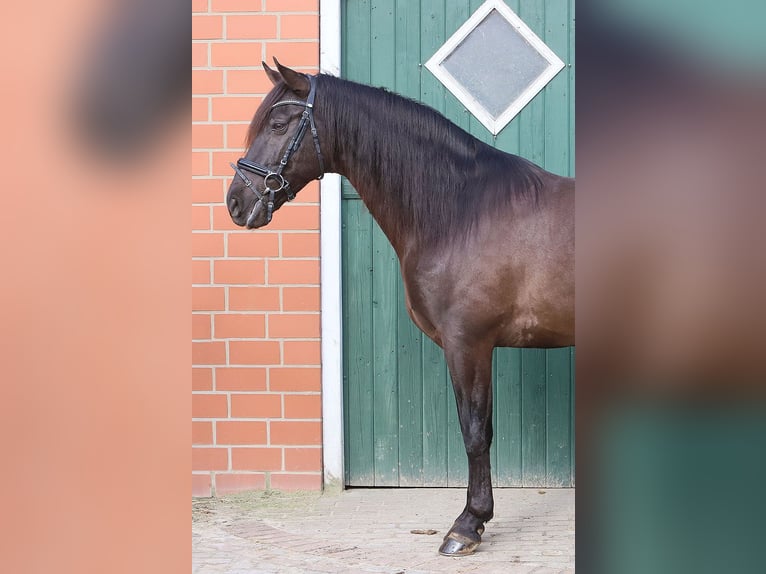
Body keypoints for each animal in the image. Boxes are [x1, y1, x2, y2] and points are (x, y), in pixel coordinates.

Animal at [228, 59, 576, 560]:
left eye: (277, 125)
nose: (236, 202)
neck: (461, 211)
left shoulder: (467, 343)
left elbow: (475, 431)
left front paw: (468, 525)